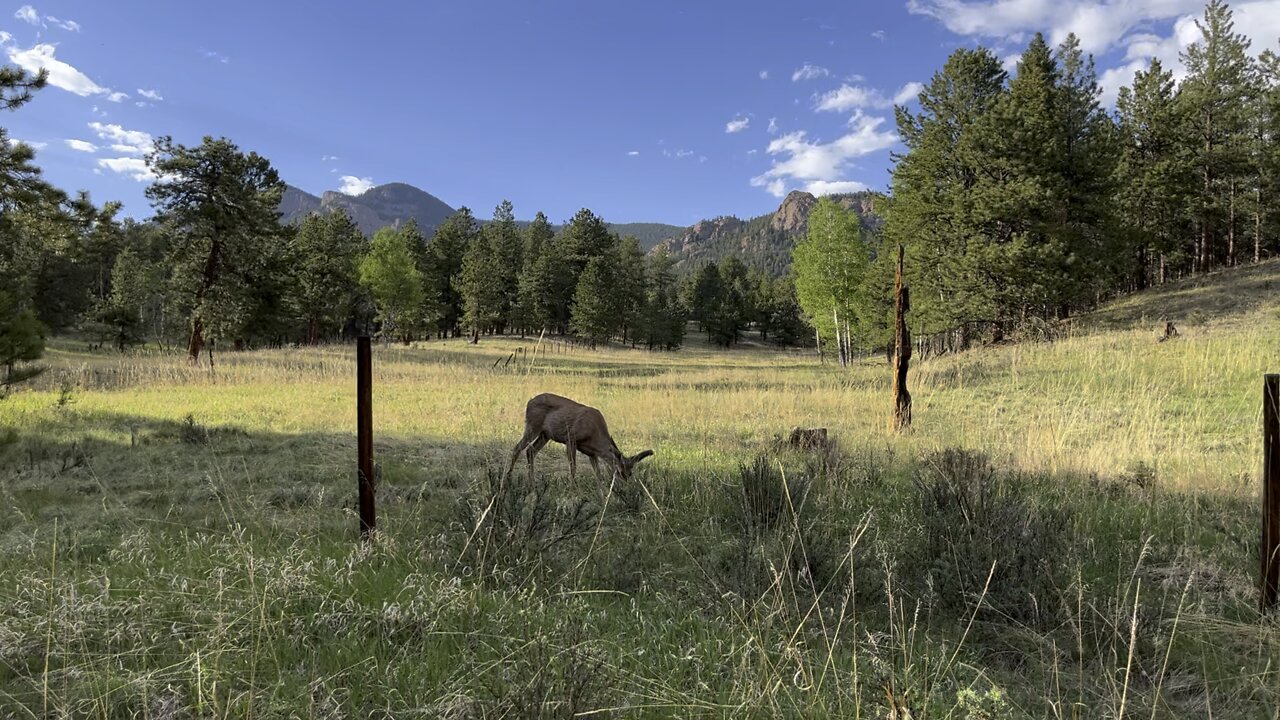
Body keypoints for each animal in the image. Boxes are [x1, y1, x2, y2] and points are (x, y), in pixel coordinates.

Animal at [504, 389, 655, 497]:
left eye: (630, 473)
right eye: (619, 471)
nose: (626, 488)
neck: (594, 434)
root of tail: (529, 402)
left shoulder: (592, 453)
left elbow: (597, 473)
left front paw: (603, 493)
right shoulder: (571, 439)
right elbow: (573, 466)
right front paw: (573, 488)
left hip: (545, 435)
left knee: (530, 451)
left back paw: (532, 484)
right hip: (533, 426)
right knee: (518, 448)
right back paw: (509, 478)